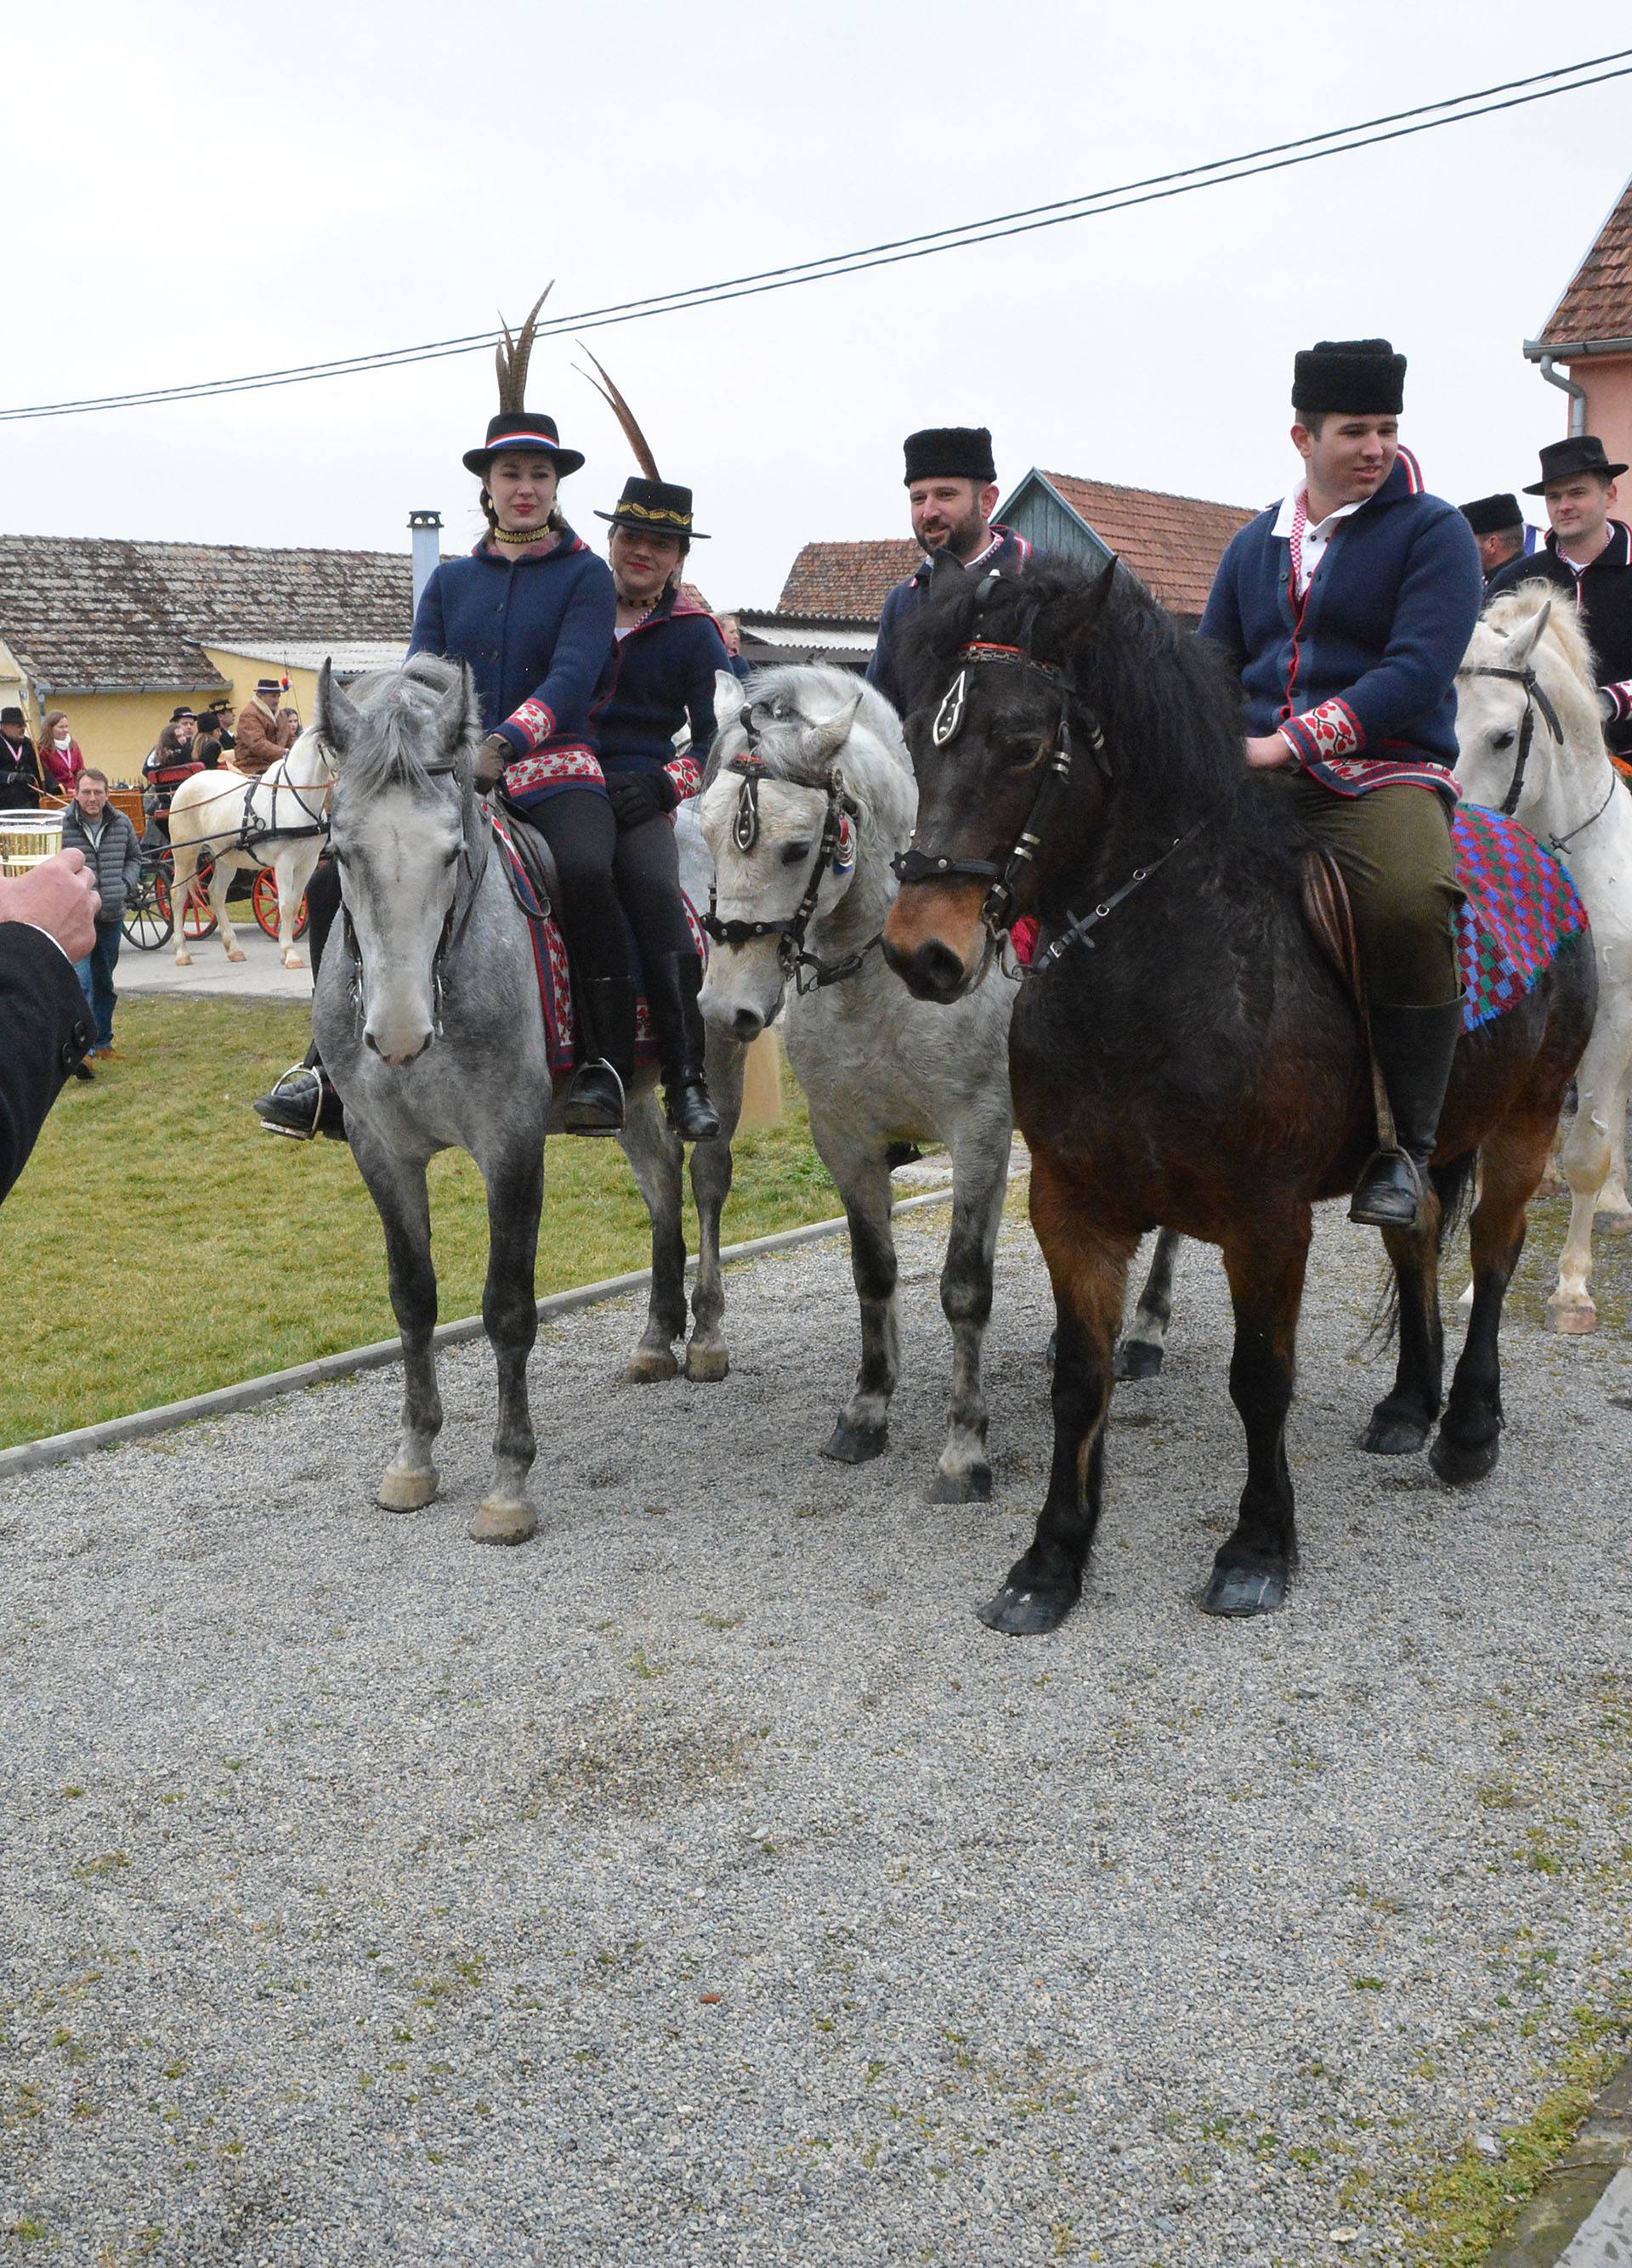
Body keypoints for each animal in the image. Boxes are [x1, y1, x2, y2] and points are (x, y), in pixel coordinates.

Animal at [165, 734, 336, 965]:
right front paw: (290, 952)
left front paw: (286, 950)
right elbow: (284, 904)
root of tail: (186, 784)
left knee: (216, 894)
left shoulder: (308, 862)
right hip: (185, 854)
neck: (294, 798)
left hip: (225, 858)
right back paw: (182, 952)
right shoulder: (284, 862)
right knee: (178, 895)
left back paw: (234, 949)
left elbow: (295, 903)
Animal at [310, 658, 740, 1541]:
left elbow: (507, 1306)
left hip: (715, 1063)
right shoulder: (381, 1149)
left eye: (451, 853)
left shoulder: (510, 1144)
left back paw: (706, 1335)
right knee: (661, 1181)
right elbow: (412, 1299)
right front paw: (413, 1460)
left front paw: (509, 1484)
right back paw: (657, 1335)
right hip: (631, 1097)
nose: (397, 1033)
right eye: (338, 849)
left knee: (707, 1180)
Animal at [694, 662, 1017, 1496]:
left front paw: (964, 1446)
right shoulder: (844, 1136)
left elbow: (964, 1287)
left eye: (795, 847)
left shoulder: (979, 1133)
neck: (887, 971)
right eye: (705, 833)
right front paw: (868, 1409)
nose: (726, 1007)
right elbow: (873, 1271)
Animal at [881, 560, 1597, 1642]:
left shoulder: (1267, 1221)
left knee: (1494, 1251)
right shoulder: (1070, 1207)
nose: (920, 952)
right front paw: (1050, 1561)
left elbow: (1260, 1381)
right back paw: (1408, 1405)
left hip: (1529, 1118)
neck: (1157, 973)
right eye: (923, 733)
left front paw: (1257, 1550)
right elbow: (1077, 1377)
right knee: (1418, 1231)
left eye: (1022, 743)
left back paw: (1468, 1429)